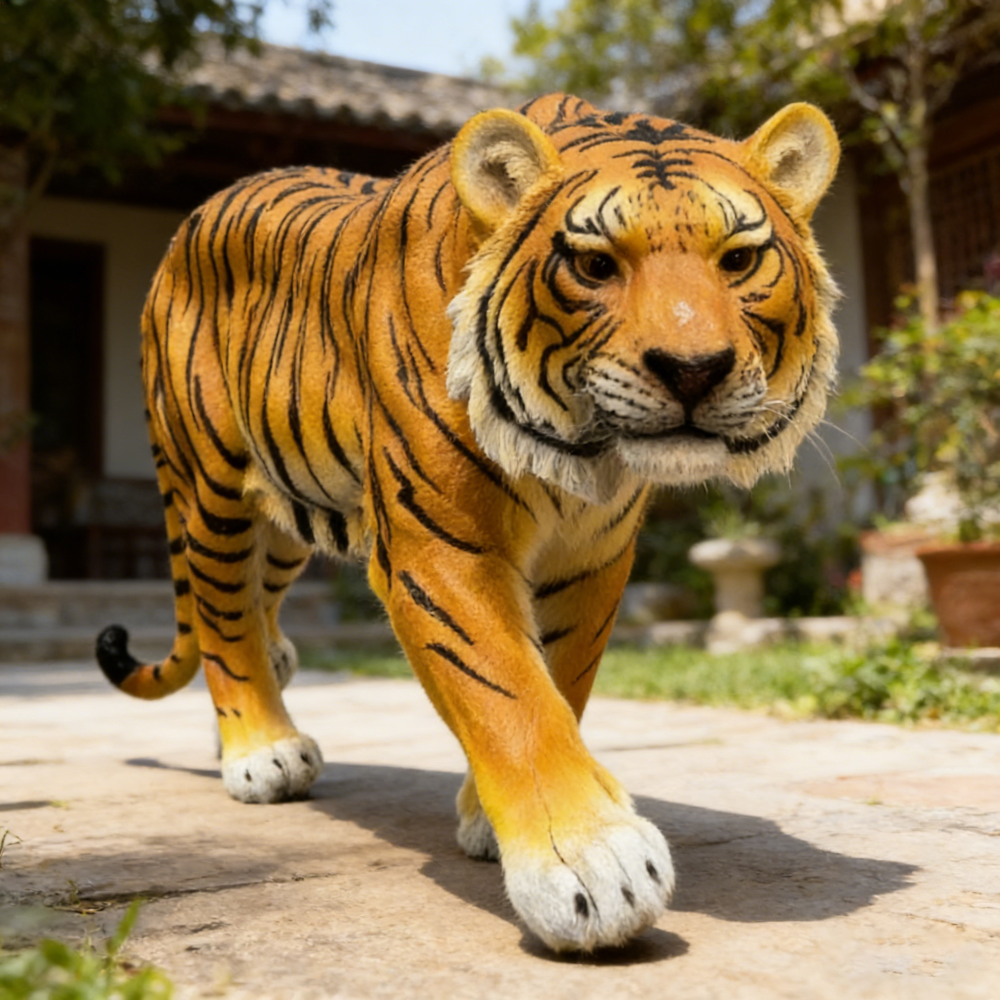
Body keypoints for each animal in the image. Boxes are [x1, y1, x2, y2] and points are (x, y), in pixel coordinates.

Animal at [96, 93, 840, 952]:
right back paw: (261, 750)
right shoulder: (440, 547)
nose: (694, 370)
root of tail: (195, 216)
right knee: (221, 618)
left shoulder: (593, 556)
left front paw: (490, 817)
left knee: (253, 608)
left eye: (739, 261)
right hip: (209, 486)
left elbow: (562, 680)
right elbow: (508, 692)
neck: (578, 449)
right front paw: (590, 863)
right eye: (595, 266)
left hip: (287, 515)